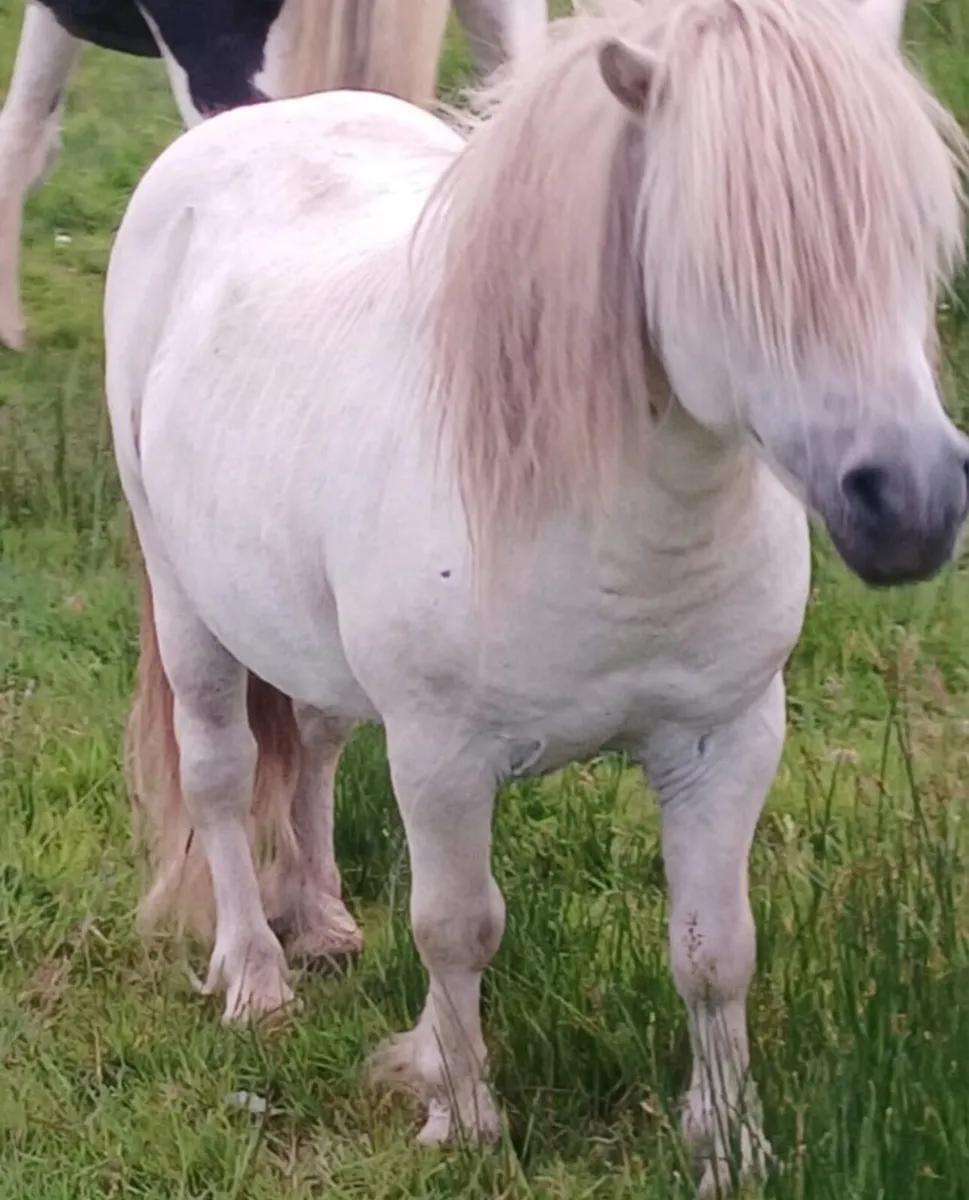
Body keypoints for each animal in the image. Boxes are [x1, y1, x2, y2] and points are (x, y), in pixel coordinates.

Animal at [103, 0, 968, 1189]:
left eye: (913, 236)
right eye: (720, 254)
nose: (913, 503)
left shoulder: (726, 740)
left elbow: (715, 950)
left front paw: (730, 1144)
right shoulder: (441, 757)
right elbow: (457, 927)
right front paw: (461, 1116)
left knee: (314, 740)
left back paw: (319, 918)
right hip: (187, 598)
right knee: (223, 774)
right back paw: (254, 973)